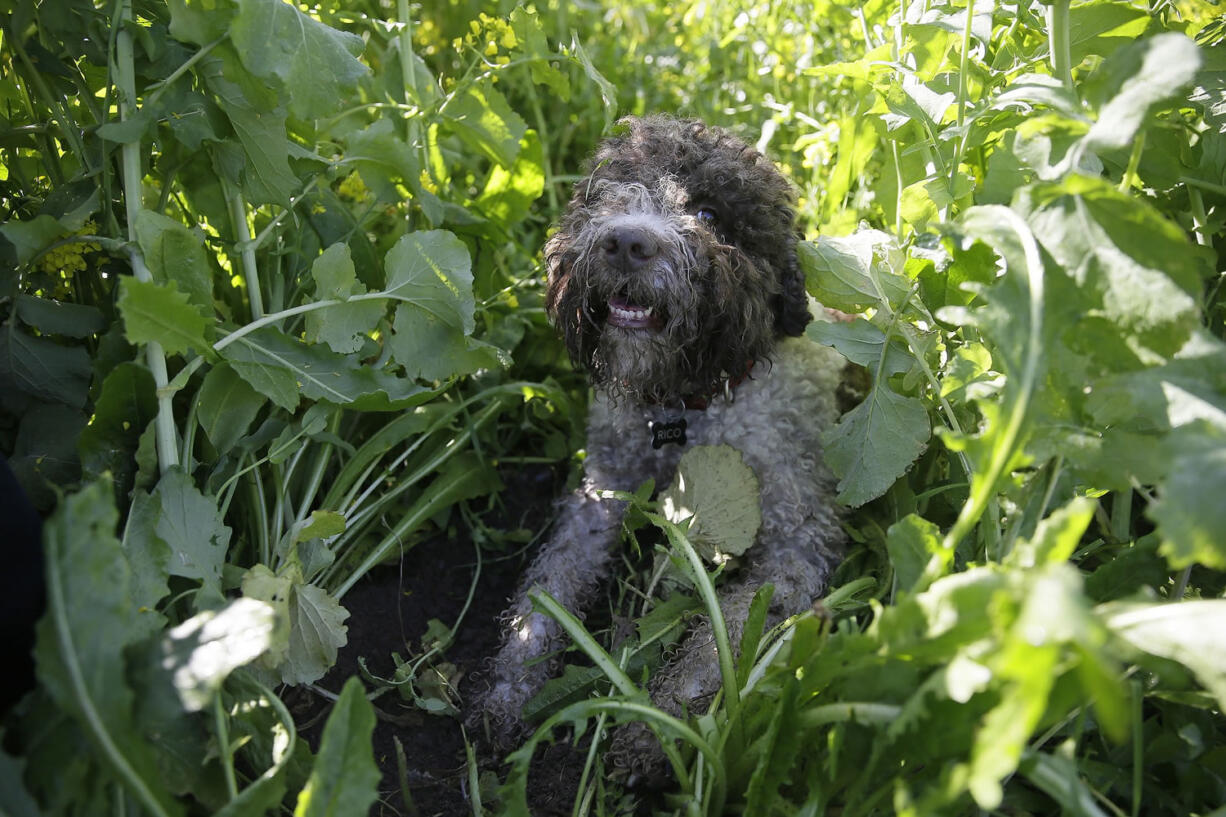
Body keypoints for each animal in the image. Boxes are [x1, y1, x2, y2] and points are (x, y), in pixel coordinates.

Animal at [473, 114, 848, 775]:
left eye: (708, 213)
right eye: (606, 194)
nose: (626, 243)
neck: (682, 406)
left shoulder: (797, 547)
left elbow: (717, 642)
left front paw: (662, 731)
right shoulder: (601, 493)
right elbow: (551, 587)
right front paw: (514, 683)